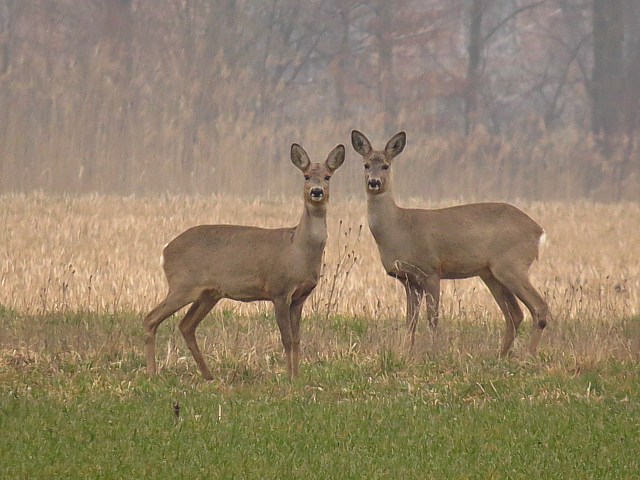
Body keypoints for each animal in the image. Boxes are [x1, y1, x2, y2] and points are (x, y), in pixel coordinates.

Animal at [144, 142, 344, 378]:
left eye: (327, 176)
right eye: (306, 176)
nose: (316, 191)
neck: (298, 247)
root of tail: (165, 250)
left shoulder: (300, 297)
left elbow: (296, 340)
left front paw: (297, 376)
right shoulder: (279, 290)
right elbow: (286, 339)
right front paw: (289, 377)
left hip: (209, 293)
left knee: (186, 325)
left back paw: (208, 376)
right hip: (183, 284)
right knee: (151, 318)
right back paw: (152, 372)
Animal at [350, 128, 552, 356]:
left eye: (386, 165)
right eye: (366, 164)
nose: (374, 182)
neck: (398, 228)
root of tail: (538, 231)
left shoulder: (431, 270)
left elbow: (432, 319)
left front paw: (432, 352)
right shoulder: (408, 279)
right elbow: (410, 321)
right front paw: (405, 352)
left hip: (511, 265)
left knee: (538, 307)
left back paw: (528, 354)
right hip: (491, 273)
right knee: (515, 314)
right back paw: (501, 355)